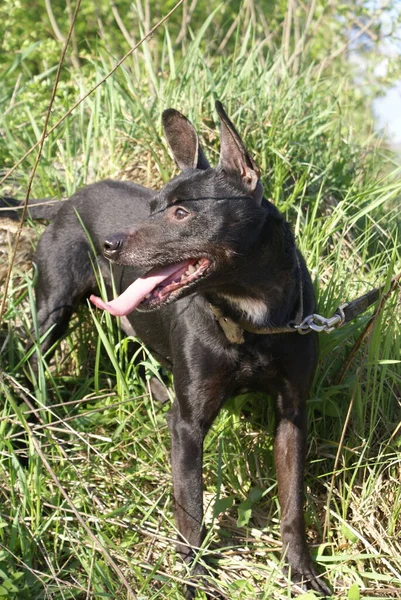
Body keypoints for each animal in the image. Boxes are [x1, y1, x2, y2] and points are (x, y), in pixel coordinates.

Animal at [9, 102, 330, 596]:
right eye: (153, 207)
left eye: (181, 213)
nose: (109, 244)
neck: (249, 318)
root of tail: (66, 200)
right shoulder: (188, 425)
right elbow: (191, 508)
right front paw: (194, 576)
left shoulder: (291, 414)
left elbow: (292, 502)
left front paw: (301, 570)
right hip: (51, 315)